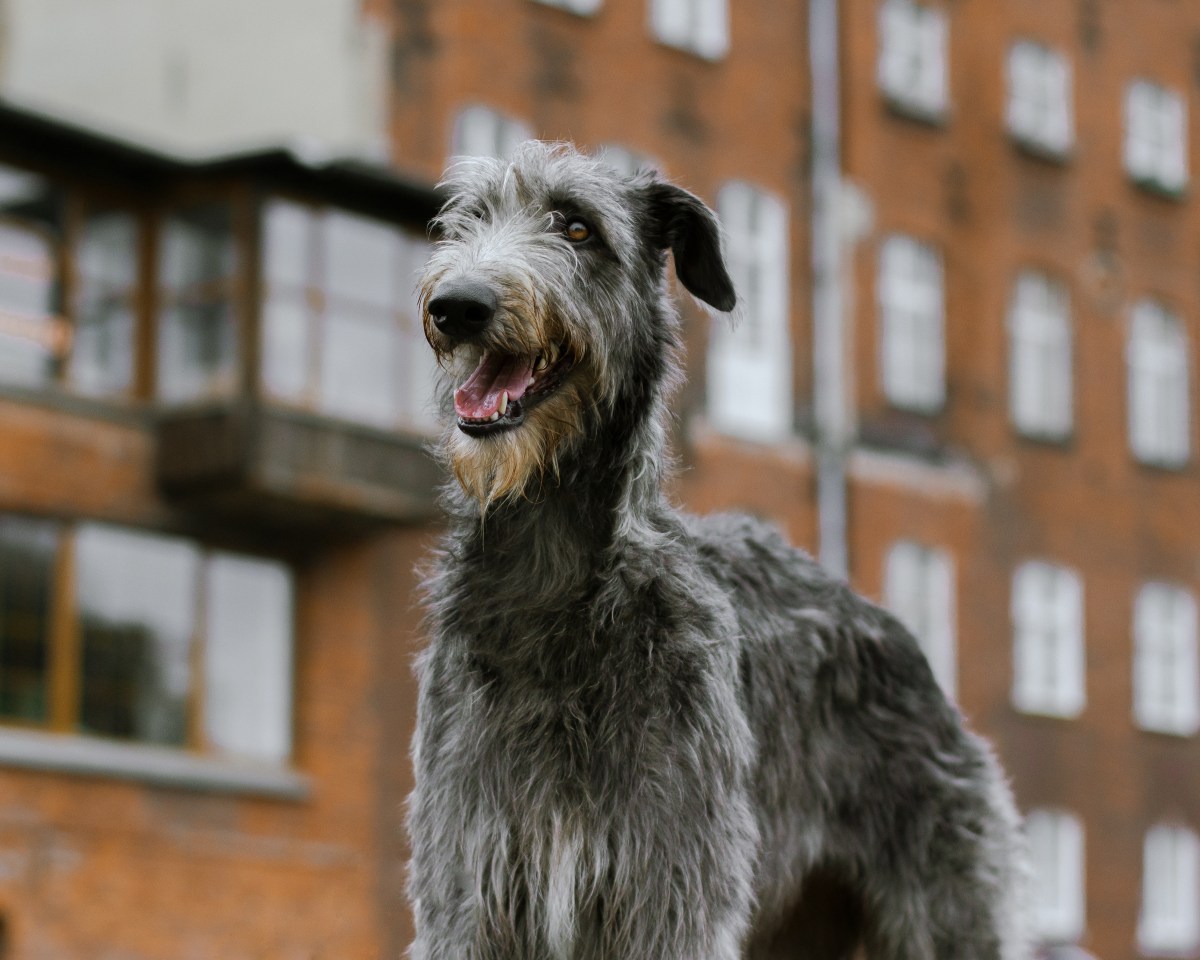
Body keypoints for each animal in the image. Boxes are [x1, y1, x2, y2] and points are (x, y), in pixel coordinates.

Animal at [408, 142, 1027, 960]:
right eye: (466, 222)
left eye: (576, 227)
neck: (551, 582)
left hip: (942, 895)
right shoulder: (467, 889)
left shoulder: (669, 887)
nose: (457, 305)